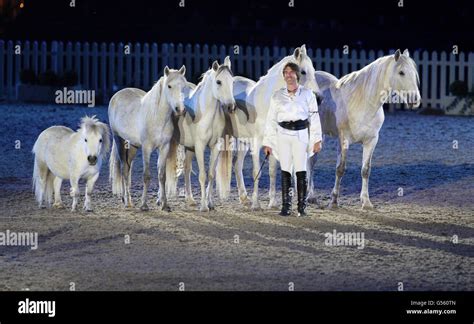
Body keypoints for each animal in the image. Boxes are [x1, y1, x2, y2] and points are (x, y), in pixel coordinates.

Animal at [108, 67, 188, 211]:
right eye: (169, 86)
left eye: (183, 86)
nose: (180, 109)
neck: (156, 117)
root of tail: (117, 95)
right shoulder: (146, 148)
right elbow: (146, 176)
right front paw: (144, 205)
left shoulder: (164, 147)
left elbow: (162, 176)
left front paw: (164, 204)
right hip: (119, 140)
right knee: (124, 169)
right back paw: (127, 201)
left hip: (133, 146)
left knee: (128, 167)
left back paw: (125, 198)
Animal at [176, 55, 235, 213]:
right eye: (219, 82)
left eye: (232, 81)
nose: (231, 107)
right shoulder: (200, 147)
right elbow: (202, 175)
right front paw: (203, 206)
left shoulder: (215, 147)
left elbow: (211, 174)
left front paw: (210, 203)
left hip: (189, 149)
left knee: (187, 168)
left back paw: (190, 200)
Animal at [312, 49, 422, 209]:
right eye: (401, 72)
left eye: (414, 73)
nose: (415, 100)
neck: (362, 103)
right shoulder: (344, 140)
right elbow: (340, 169)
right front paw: (333, 202)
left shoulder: (371, 141)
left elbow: (365, 170)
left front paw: (366, 202)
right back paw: (309, 196)